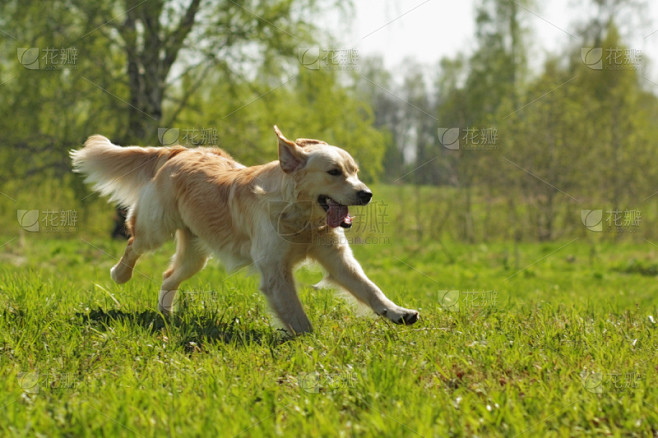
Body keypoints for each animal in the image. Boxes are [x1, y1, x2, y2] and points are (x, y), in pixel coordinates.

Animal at [70, 126, 416, 336]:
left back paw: (166, 315)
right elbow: (298, 316)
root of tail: (180, 151)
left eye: (354, 171)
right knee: (133, 243)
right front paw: (309, 344)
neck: (300, 216)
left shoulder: (337, 257)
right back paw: (120, 274)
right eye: (334, 172)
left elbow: (369, 289)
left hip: (196, 254)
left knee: (168, 277)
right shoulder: (276, 272)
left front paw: (397, 312)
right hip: (156, 228)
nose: (366, 194)